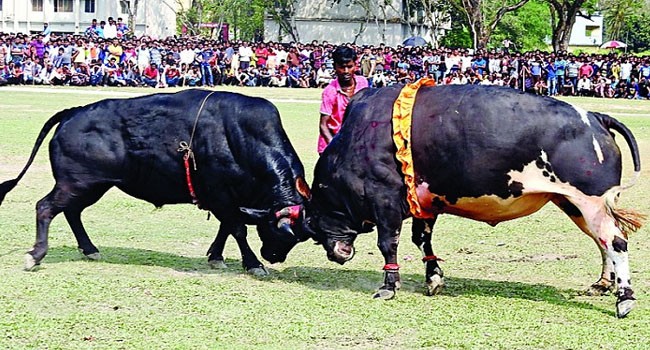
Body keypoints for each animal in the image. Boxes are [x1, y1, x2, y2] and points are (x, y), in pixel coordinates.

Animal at [0, 89, 312, 274]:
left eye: (300, 237)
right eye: (281, 233)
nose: (273, 257)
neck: (242, 138)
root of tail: (72, 112)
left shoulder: (227, 200)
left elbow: (226, 228)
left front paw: (216, 255)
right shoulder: (222, 195)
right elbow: (237, 229)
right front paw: (253, 263)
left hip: (92, 186)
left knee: (71, 212)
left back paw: (90, 250)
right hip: (75, 184)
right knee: (45, 207)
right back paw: (36, 255)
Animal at [292, 84, 640, 318]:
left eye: (314, 222)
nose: (334, 254)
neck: (359, 138)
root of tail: (594, 116)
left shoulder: (385, 199)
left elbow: (388, 244)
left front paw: (389, 286)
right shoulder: (425, 202)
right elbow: (422, 240)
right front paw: (433, 278)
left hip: (590, 202)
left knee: (616, 242)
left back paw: (624, 297)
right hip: (574, 203)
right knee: (603, 241)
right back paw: (604, 284)